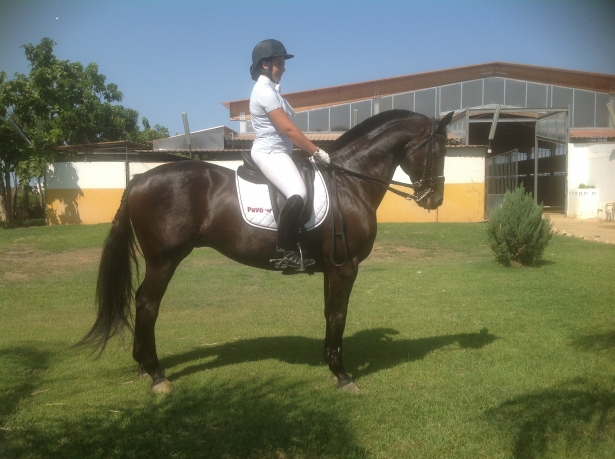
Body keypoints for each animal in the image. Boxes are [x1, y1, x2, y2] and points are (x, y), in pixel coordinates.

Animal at [77, 109, 454, 394]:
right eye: (438, 150)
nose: (435, 200)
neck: (349, 183)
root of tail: (138, 180)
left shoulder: (330, 269)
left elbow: (329, 314)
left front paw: (331, 365)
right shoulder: (345, 267)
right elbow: (338, 316)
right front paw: (343, 376)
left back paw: (144, 367)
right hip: (164, 260)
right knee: (147, 305)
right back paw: (156, 375)